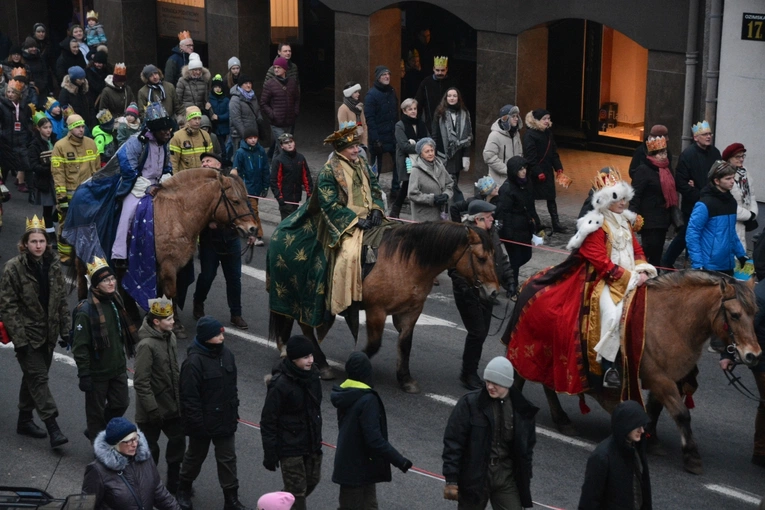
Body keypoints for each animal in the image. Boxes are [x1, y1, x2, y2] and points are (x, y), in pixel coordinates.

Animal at [76, 169, 258, 300]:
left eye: (246, 198)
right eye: (235, 201)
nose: (252, 229)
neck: (178, 215)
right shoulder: (167, 266)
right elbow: (170, 295)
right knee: (81, 278)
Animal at [268, 221, 502, 392]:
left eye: (495, 257)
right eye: (481, 258)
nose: (493, 292)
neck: (407, 262)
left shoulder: (411, 312)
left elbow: (405, 344)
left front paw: (405, 379)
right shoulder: (377, 311)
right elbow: (374, 344)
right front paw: (355, 366)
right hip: (303, 299)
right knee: (306, 328)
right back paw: (322, 365)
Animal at [508, 270, 760, 474]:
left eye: (755, 313)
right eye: (735, 315)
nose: (753, 355)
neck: (670, 320)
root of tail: (529, 281)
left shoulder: (666, 378)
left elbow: (655, 409)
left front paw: (651, 438)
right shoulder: (659, 378)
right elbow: (681, 414)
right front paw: (692, 457)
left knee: (538, 381)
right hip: (538, 350)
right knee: (531, 378)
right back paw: (553, 417)